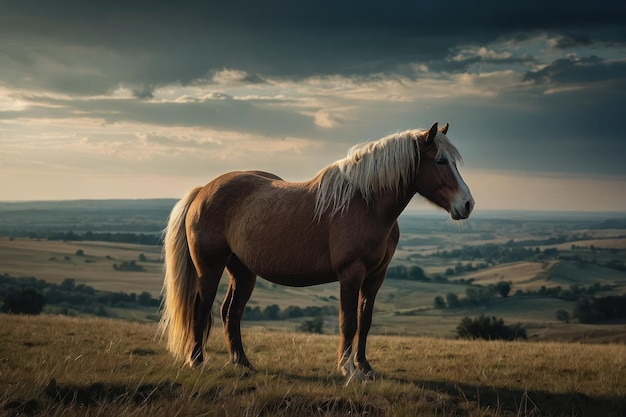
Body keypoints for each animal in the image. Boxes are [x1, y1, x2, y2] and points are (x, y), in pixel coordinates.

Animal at [160, 120, 472, 380]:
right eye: (440, 160)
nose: (468, 204)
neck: (365, 204)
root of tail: (203, 190)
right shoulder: (351, 274)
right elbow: (348, 322)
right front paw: (348, 370)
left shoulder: (375, 277)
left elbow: (365, 321)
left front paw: (365, 367)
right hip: (209, 268)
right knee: (201, 310)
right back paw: (197, 361)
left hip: (243, 271)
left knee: (230, 312)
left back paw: (243, 363)